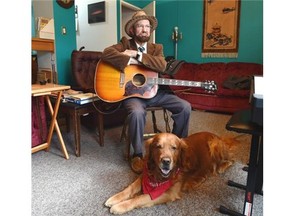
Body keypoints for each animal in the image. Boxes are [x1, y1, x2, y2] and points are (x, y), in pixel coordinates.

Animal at [104, 132, 235, 214]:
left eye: (174, 148)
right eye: (158, 146)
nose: (166, 161)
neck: (158, 178)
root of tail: (218, 136)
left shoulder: (169, 193)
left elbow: (141, 197)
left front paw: (120, 206)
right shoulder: (145, 175)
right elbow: (130, 188)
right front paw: (114, 198)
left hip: (214, 144)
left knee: (231, 160)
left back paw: (221, 167)